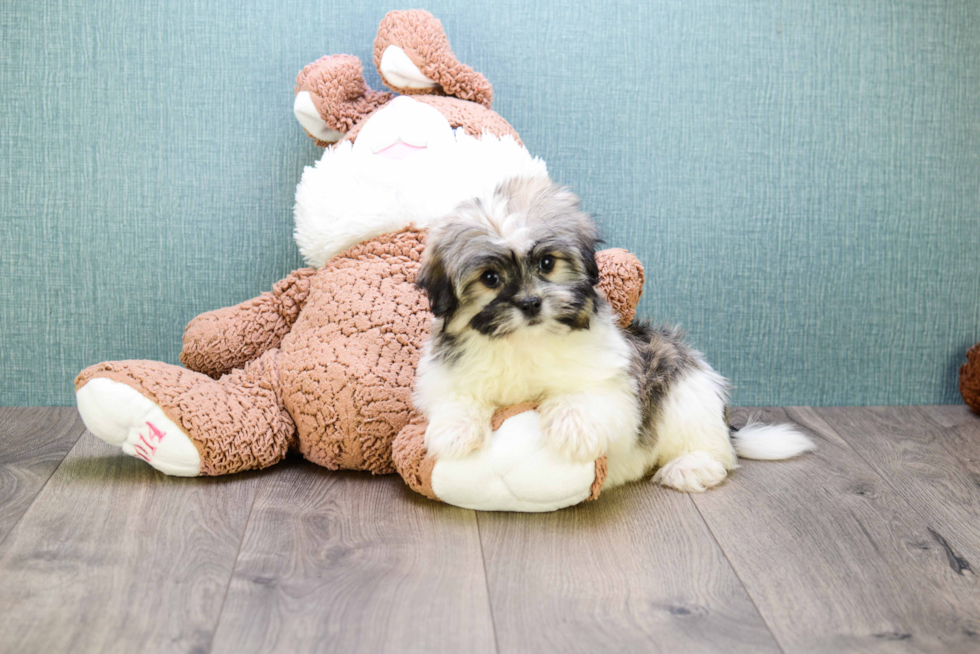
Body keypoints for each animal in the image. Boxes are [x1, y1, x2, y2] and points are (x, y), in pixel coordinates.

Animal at [416, 174, 820, 492]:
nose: (530, 303)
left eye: (547, 263)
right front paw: (454, 432)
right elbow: (456, 397)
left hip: (686, 393)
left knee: (713, 450)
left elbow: (590, 395)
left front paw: (573, 428)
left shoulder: (614, 379)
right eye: (490, 278)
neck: (526, 343)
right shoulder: (446, 377)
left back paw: (691, 467)